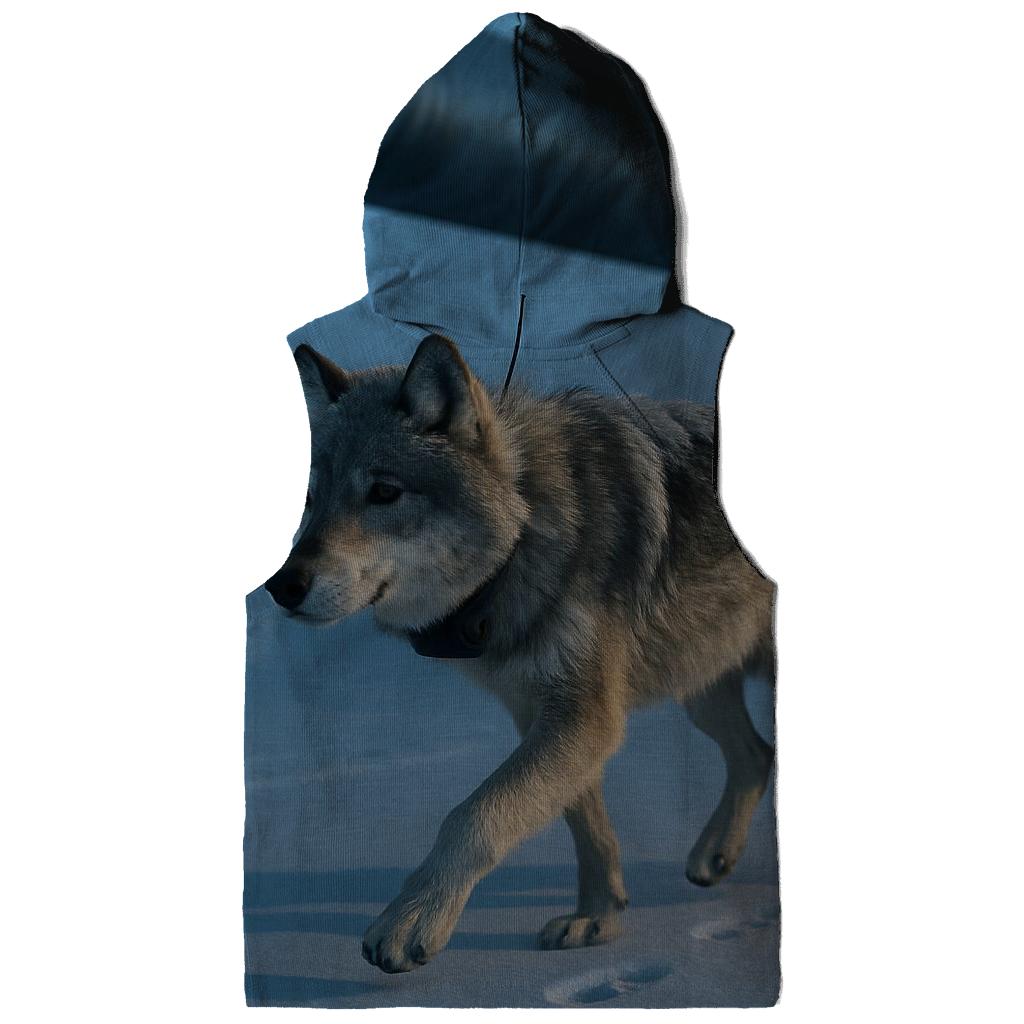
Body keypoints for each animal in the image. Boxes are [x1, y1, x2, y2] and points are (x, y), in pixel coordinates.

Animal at [264, 333, 776, 974]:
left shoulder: (584, 718)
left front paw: (409, 922)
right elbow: (584, 825)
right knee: (757, 755)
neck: (527, 530)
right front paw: (598, 919)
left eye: (384, 492)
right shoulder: (542, 713)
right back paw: (715, 855)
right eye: (308, 500)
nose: (283, 585)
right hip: (700, 686)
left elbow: (475, 815)